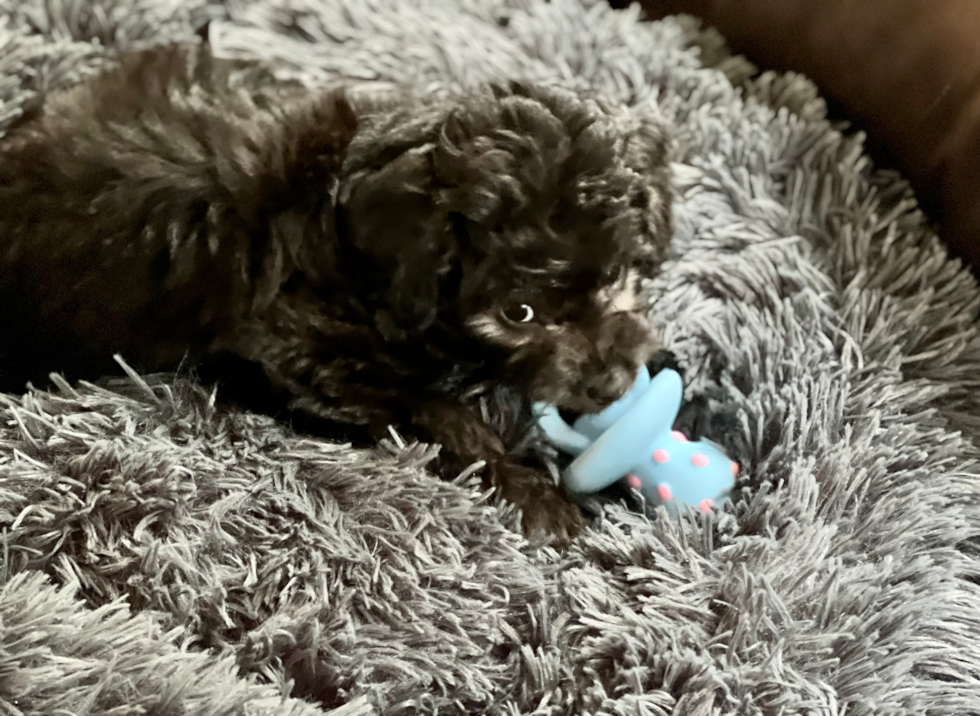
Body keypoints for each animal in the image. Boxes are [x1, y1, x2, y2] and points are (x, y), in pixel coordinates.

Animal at [0, 43, 672, 544]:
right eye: (519, 312)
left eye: (620, 276)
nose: (612, 384)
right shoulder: (300, 349)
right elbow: (431, 410)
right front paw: (532, 490)